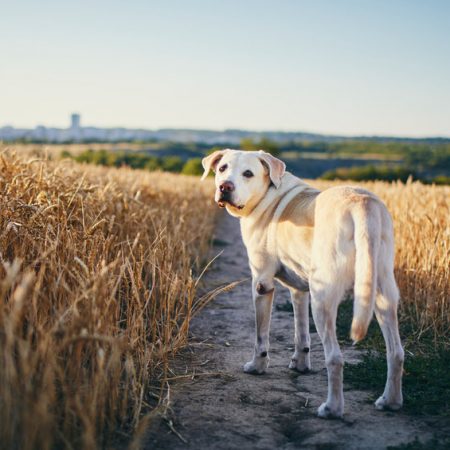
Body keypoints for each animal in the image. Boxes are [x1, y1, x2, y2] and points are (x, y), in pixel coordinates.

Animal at [200, 149, 404, 418]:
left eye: (248, 173)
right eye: (222, 168)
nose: (225, 187)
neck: (267, 195)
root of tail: (362, 205)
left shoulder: (262, 283)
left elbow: (261, 337)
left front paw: (257, 366)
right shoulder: (299, 290)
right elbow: (301, 332)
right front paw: (300, 364)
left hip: (322, 299)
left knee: (335, 358)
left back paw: (332, 408)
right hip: (382, 294)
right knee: (396, 352)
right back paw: (390, 401)